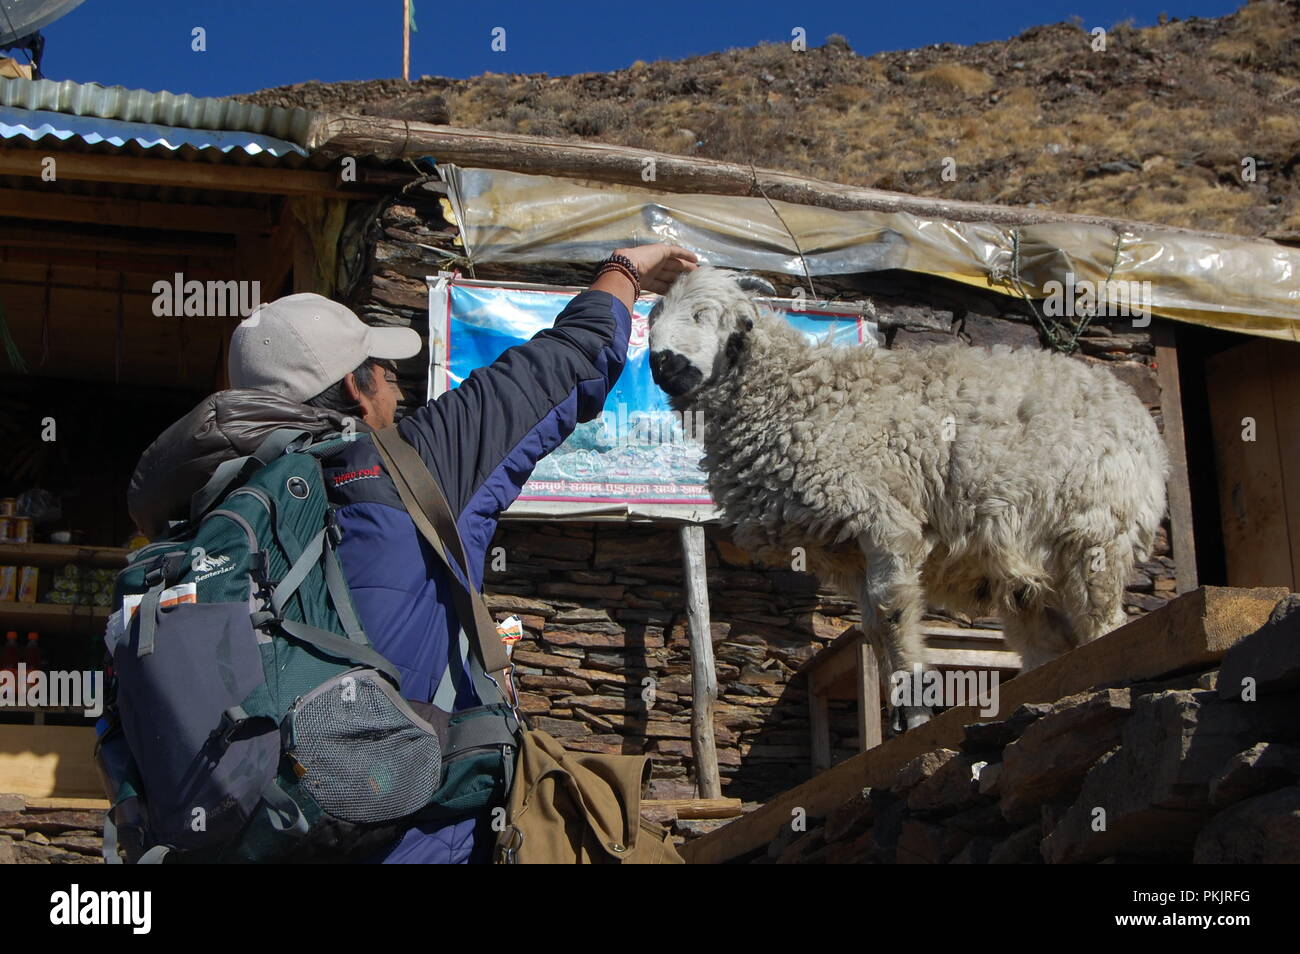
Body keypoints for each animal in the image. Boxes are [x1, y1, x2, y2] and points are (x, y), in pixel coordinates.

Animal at [650, 267, 1170, 733]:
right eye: (654, 316)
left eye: (704, 314)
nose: (662, 364)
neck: (796, 392)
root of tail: (1136, 412)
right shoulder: (850, 551)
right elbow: (874, 629)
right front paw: (905, 707)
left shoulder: (884, 520)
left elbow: (891, 613)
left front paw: (913, 714)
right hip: (1031, 561)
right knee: (1048, 635)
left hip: (1097, 531)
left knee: (1102, 619)